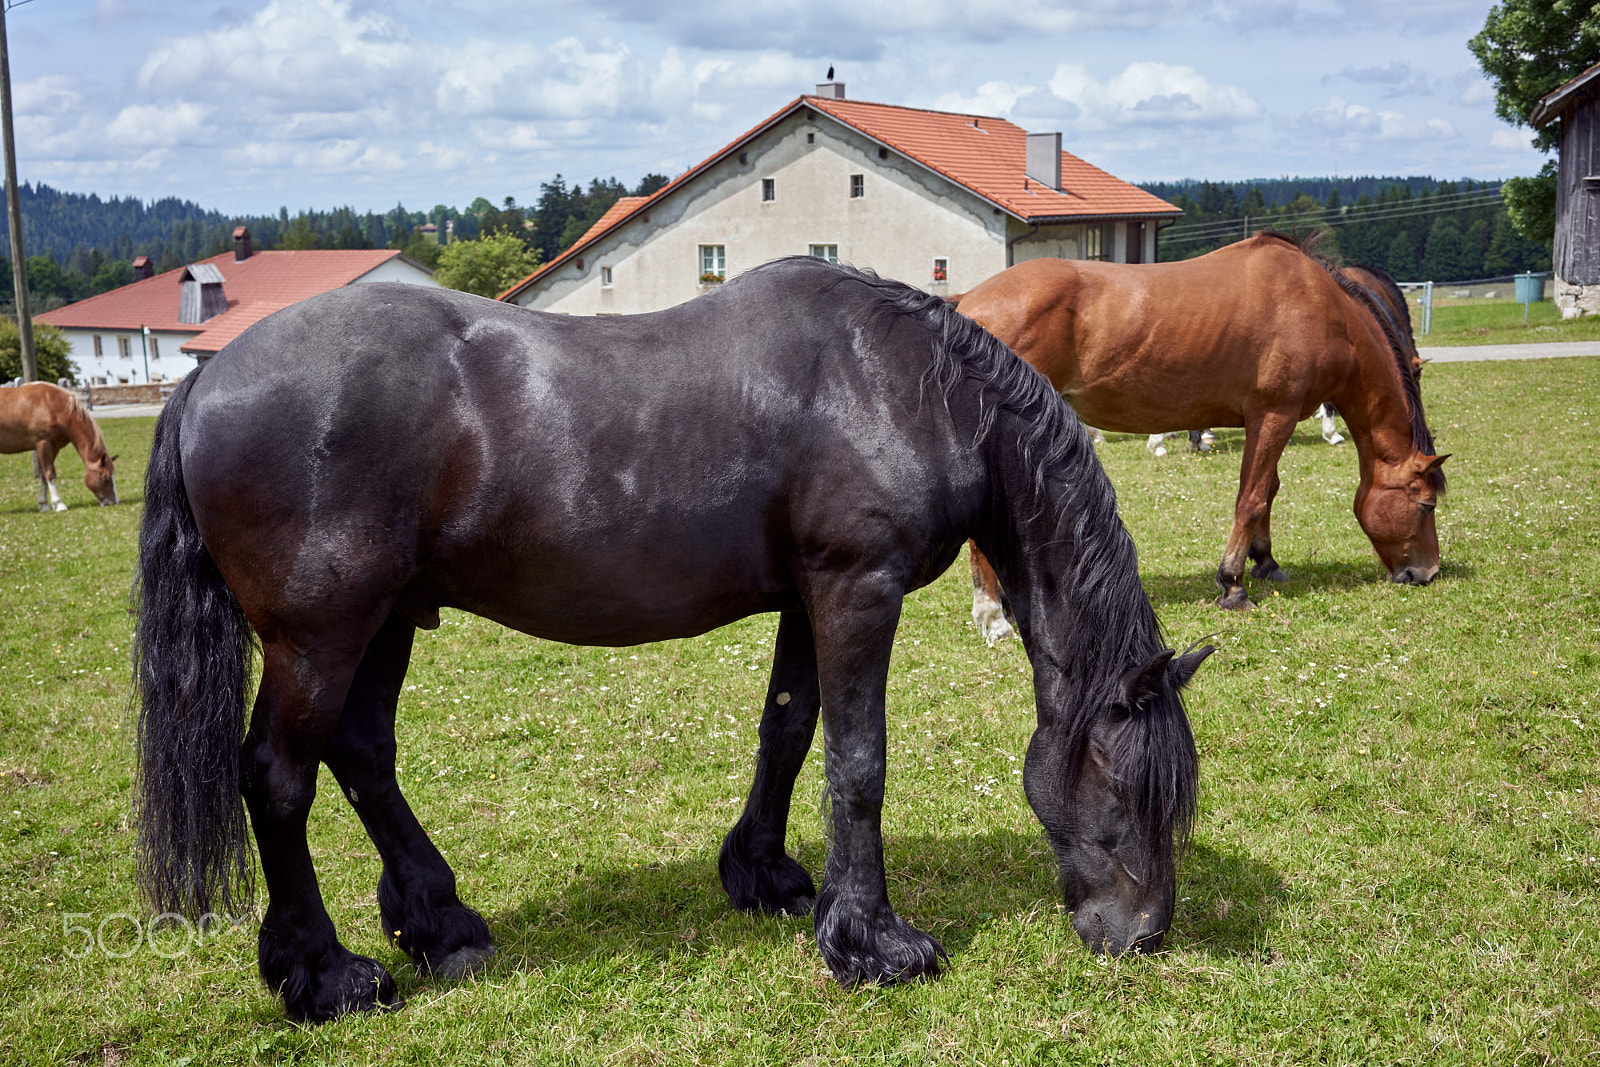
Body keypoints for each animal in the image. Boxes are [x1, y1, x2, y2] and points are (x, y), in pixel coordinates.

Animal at [0, 383, 118, 511]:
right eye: (105, 477)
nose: (113, 502)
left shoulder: (54, 447)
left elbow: (44, 475)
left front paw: (44, 505)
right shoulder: (43, 444)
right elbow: (50, 473)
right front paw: (59, 504)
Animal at [137, 259, 1203, 1023]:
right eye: (1126, 787)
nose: (1144, 936)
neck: (907, 387)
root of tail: (205, 379)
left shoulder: (808, 596)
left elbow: (790, 730)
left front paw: (767, 877)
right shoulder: (858, 589)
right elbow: (858, 760)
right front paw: (874, 943)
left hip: (386, 618)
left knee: (364, 755)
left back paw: (439, 924)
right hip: (319, 635)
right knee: (279, 777)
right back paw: (325, 974)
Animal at [953, 231, 1446, 617]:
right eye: (1426, 505)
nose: (1427, 573)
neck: (1322, 306)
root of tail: (966, 303)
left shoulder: (1268, 420)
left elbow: (1268, 490)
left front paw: (1265, 563)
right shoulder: (1275, 413)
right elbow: (1251, 499)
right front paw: (1233, 584)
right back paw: (994, 615)